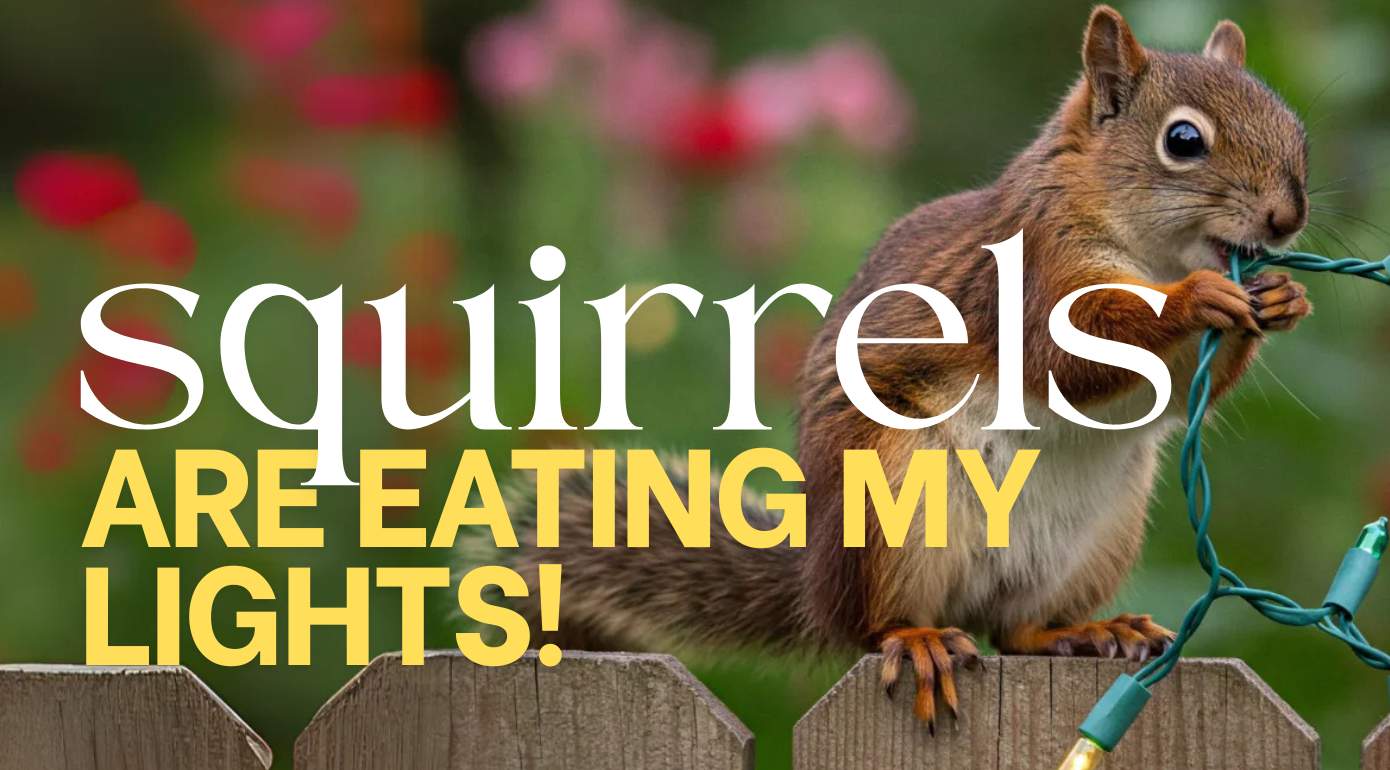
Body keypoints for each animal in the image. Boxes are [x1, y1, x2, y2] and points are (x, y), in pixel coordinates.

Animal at [496, 5, 1313, 730]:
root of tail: (819, 587)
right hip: (887, 508)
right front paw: (1199, 295)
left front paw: (1281, 295)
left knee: (1016, 631)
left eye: (1296, 129)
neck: (1149, 252)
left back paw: (1086, 630)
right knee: (877, 627)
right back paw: (918, 642)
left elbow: (1174, 394)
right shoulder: (1026, 272)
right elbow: (1069, 354)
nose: (1287, 219)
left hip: (1094, 540)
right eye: (1184, 139)